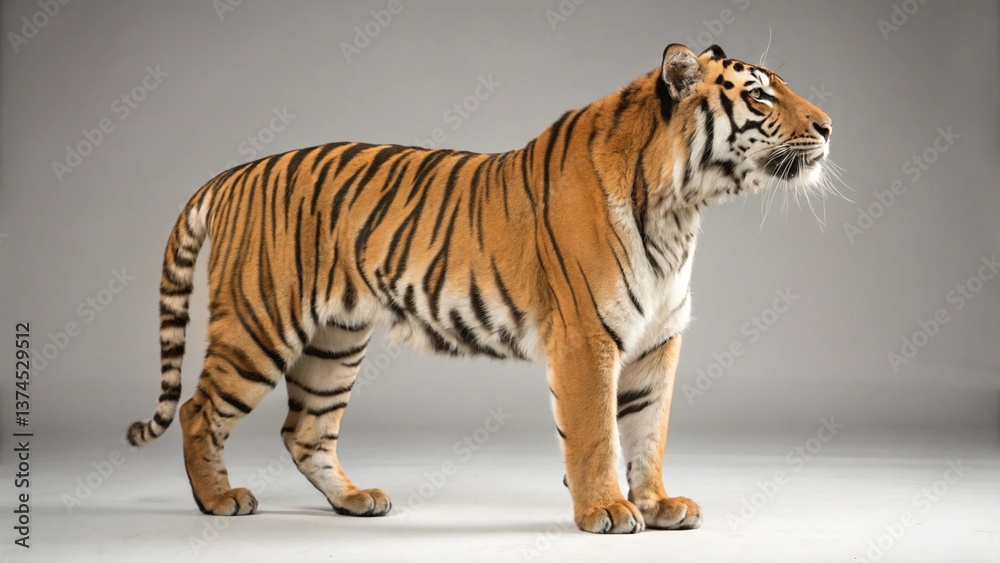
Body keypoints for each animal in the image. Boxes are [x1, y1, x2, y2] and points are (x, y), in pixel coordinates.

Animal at [126, 42, 832, 534]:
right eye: (761, 97)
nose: (828, 125)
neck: (682, 207)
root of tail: (233, 172)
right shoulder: (587, 339)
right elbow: (598, 432)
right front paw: (605, 511)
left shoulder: (658, 342)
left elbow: (647, 432)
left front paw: (658, 505)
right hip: (260, 326)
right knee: (198, 410)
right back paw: (219, 500)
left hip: (334, 340)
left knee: (305, 431)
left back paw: (355, 501)